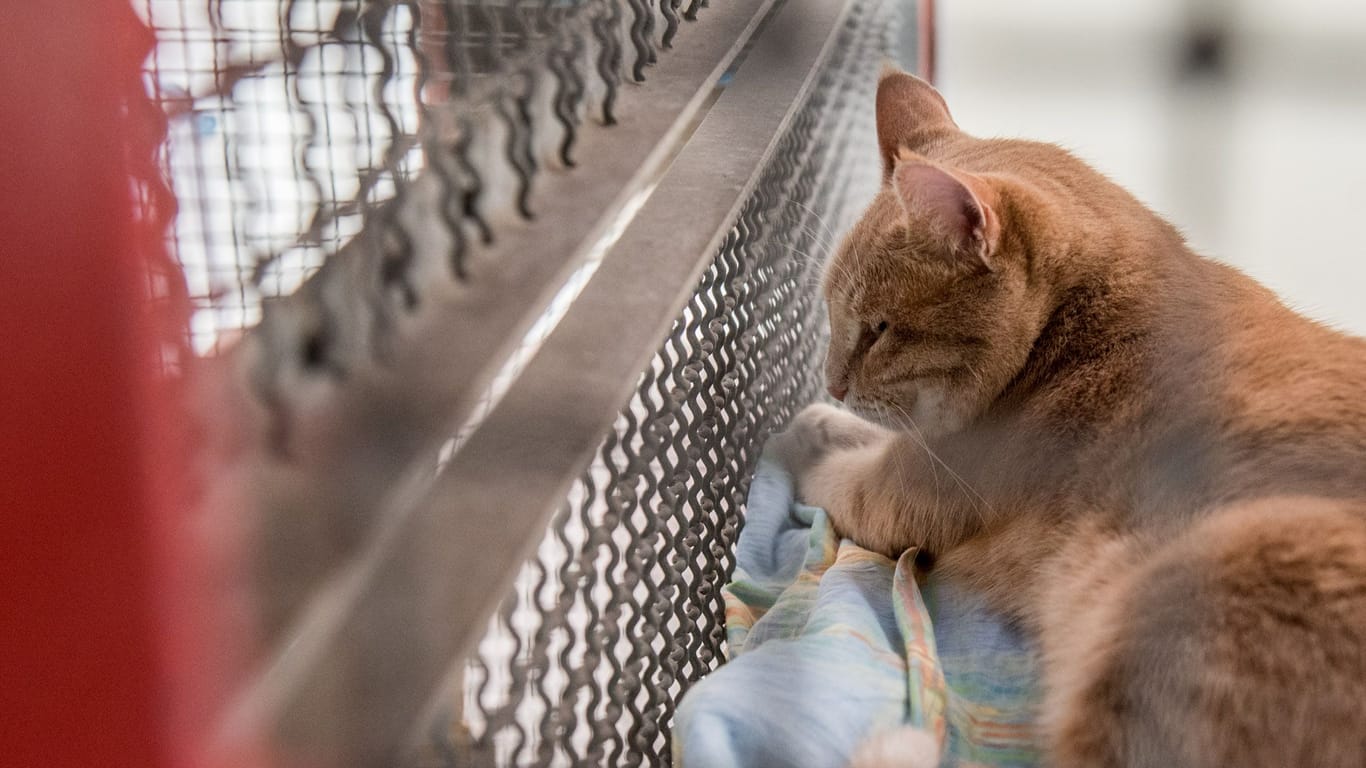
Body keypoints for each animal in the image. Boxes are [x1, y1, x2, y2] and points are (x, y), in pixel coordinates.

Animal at [781, 67, 1366, 765]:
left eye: (878, 330)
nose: (832, 383)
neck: (1071, 336)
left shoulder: (903, 492)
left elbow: (843, 478)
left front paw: (803, 443)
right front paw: (822, 422)